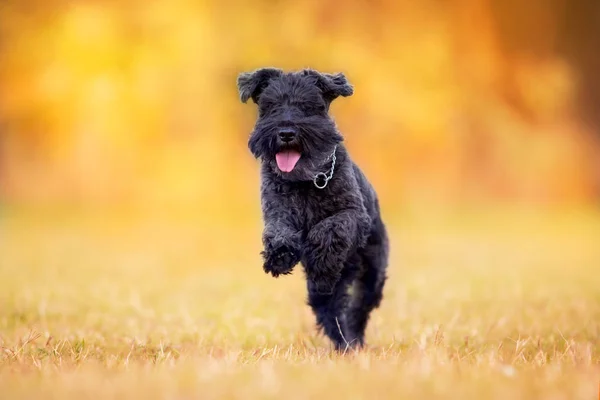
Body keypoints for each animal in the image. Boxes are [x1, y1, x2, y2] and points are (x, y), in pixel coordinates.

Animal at [237, 67, 392, 348]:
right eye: (271, 106)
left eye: (307, 106)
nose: (286, 132)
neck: (306, 180)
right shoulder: (276, 210)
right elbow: (279, 231)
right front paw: (279, 256)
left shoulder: (354, 214)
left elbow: (330, 227)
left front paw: (320, 258)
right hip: (325, 291)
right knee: (329, 309)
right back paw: (343, 342)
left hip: (373, 273)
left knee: (358, 308)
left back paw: (353, 339)